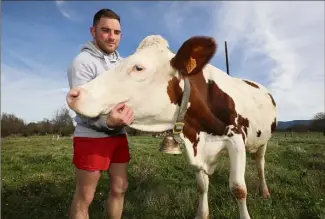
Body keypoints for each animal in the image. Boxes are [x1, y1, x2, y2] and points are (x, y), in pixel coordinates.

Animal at [66, 35, 276, 218]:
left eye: (138, 67)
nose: (74, 94)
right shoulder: (195, 143)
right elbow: (202, 185)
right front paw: (201, 214)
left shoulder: (236, 140)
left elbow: (238, 188)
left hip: (264, 141)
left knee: (260, 164)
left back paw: (264, 190)